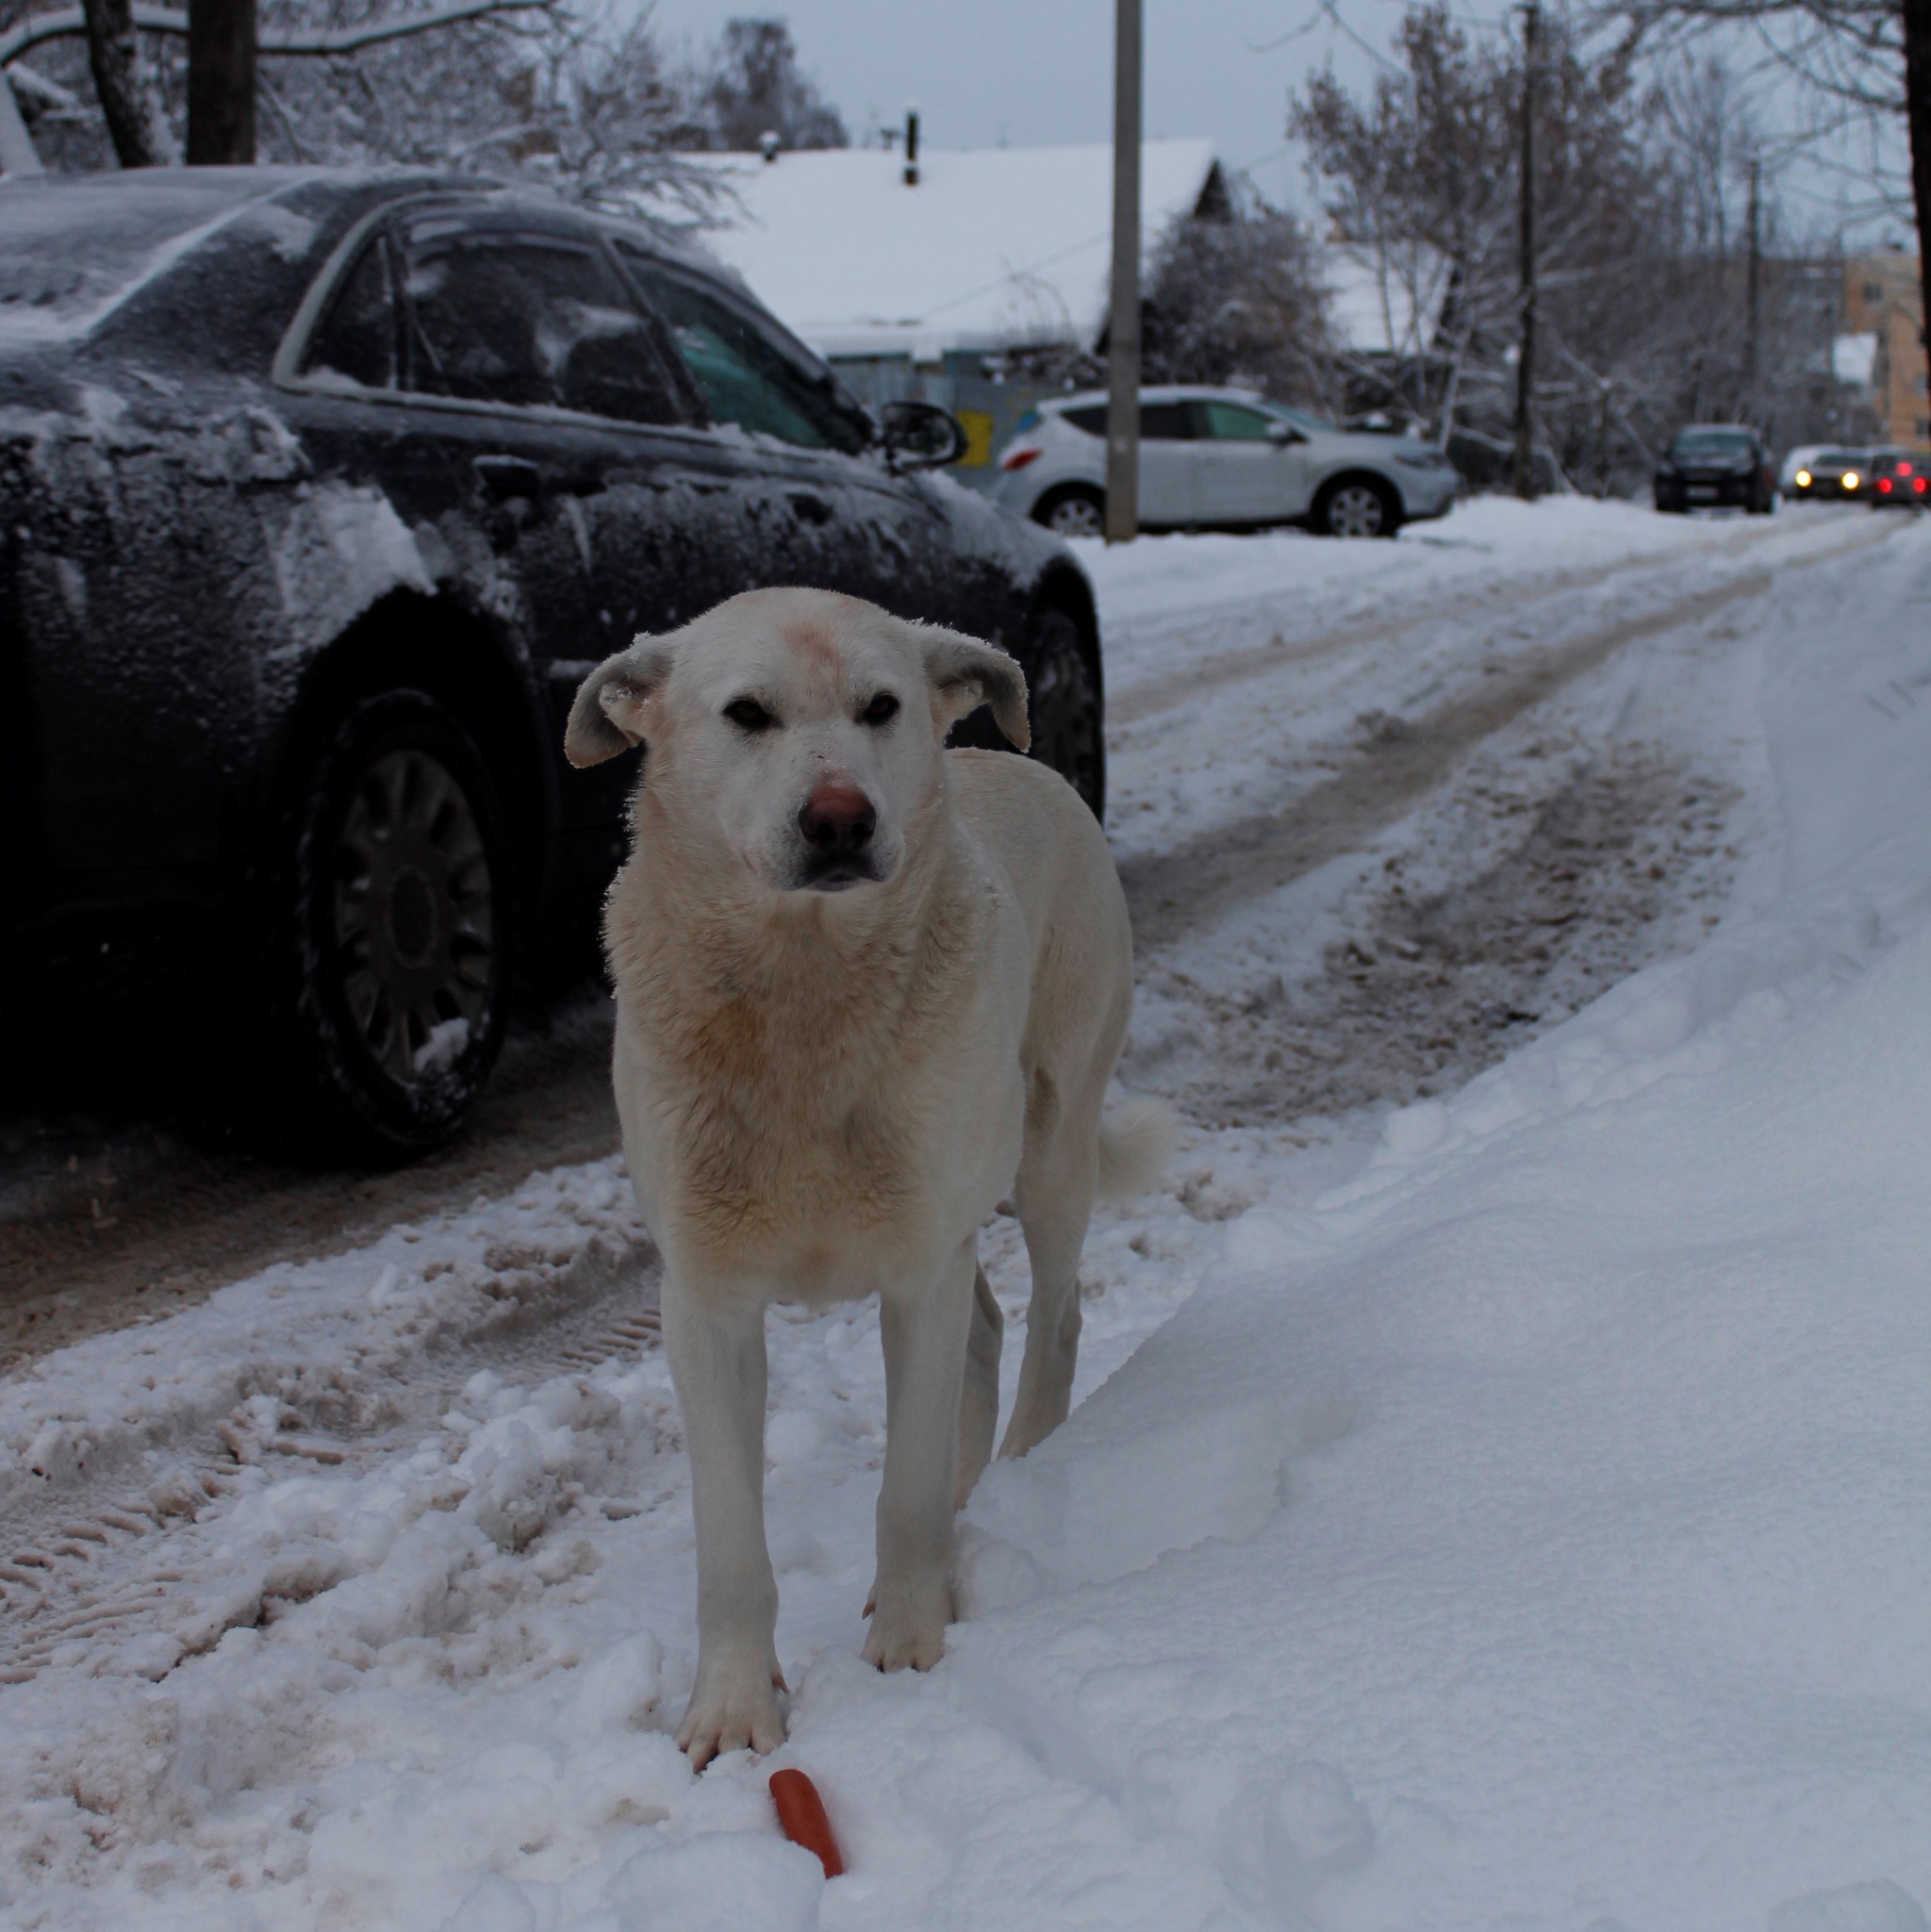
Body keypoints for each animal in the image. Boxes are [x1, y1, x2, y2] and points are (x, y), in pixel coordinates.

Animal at [559, 583, 1158, 1769]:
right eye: (746, 715)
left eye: (881, 708)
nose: (839, 818)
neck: (802, 993)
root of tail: (1026, 766)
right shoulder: (707, 1302)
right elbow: (731, 1545)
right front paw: (732, 1710)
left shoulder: (918, 1267)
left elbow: (904, 1490)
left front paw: (915, 1644)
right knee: (987, 1332)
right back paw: (977, 1496)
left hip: (1049, 1147)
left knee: (1053, 1316)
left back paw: (1023, 1469)